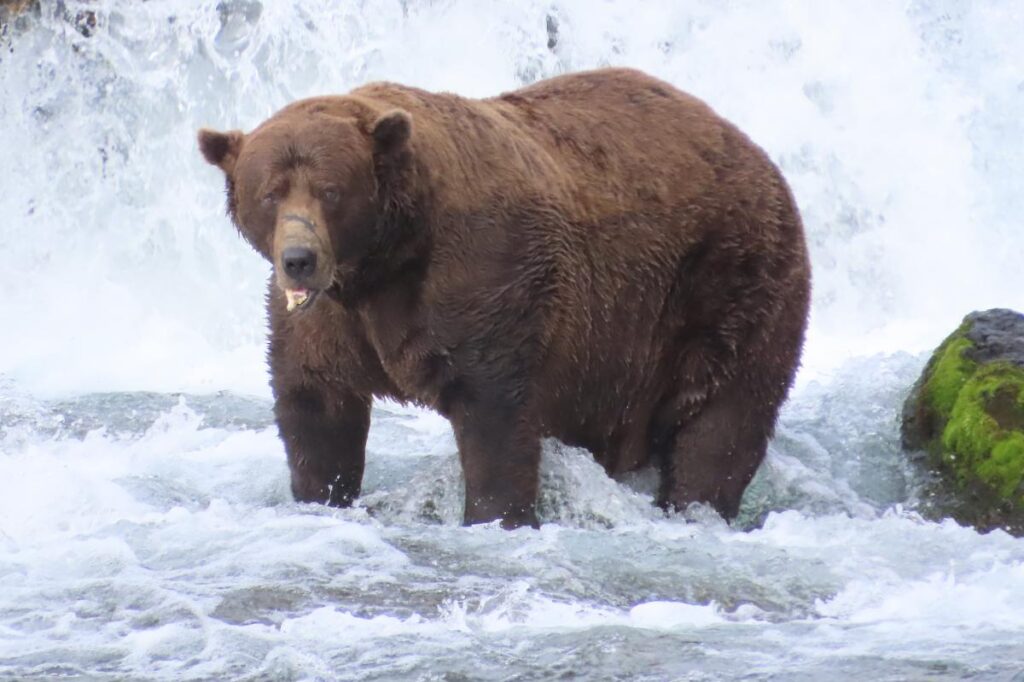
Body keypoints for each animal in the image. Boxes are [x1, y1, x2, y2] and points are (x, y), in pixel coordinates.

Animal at [198, 67, 811, 529]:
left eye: (330, 190)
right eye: (270, 192)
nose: (299, 258)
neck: (384, 262)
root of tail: (753, 150)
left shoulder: (486, 277)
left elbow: (494, 412)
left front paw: (496, 515)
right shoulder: (328, 321)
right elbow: (316, 405)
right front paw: (322, 494)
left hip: (728, 281)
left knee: (723, 420)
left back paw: (695, 505)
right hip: (621, 354)